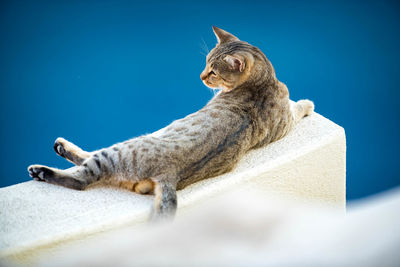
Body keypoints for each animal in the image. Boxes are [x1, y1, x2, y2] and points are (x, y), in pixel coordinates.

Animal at [28, 26, 316, 222]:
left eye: (213, 72)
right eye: (206, 63)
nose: (201, 76)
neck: (263, 81)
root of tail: (170, 174)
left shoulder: (286, 122)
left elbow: (299, 106)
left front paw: (308, 103)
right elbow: (297, 107)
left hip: (122, 148)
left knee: (83, 176)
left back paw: (46, 164)